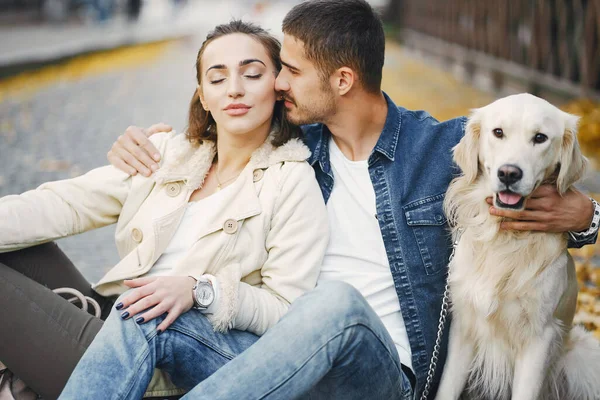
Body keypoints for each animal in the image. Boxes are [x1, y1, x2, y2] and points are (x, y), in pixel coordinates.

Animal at [436, 94, 600, 400]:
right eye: (498, 132)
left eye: (540, 137)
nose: (509, 173)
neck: (505, 239)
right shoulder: (464, 326)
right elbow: (446, 389)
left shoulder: (539, 338)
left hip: (583, 354)